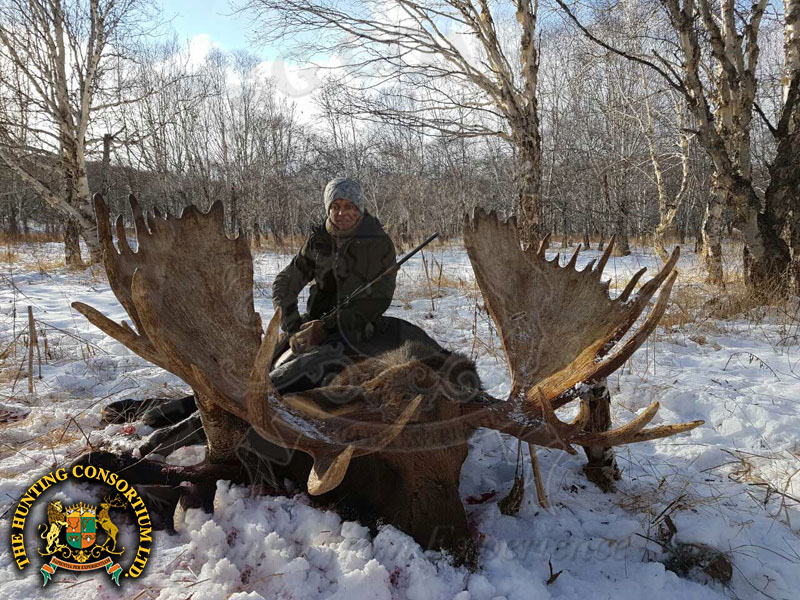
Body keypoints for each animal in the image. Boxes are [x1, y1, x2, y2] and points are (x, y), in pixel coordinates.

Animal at [71, 194, 702, 566]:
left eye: (461, 455)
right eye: (386, 464)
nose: (456, 548)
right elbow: (159, 466)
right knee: (183, 407)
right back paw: (129, 413)